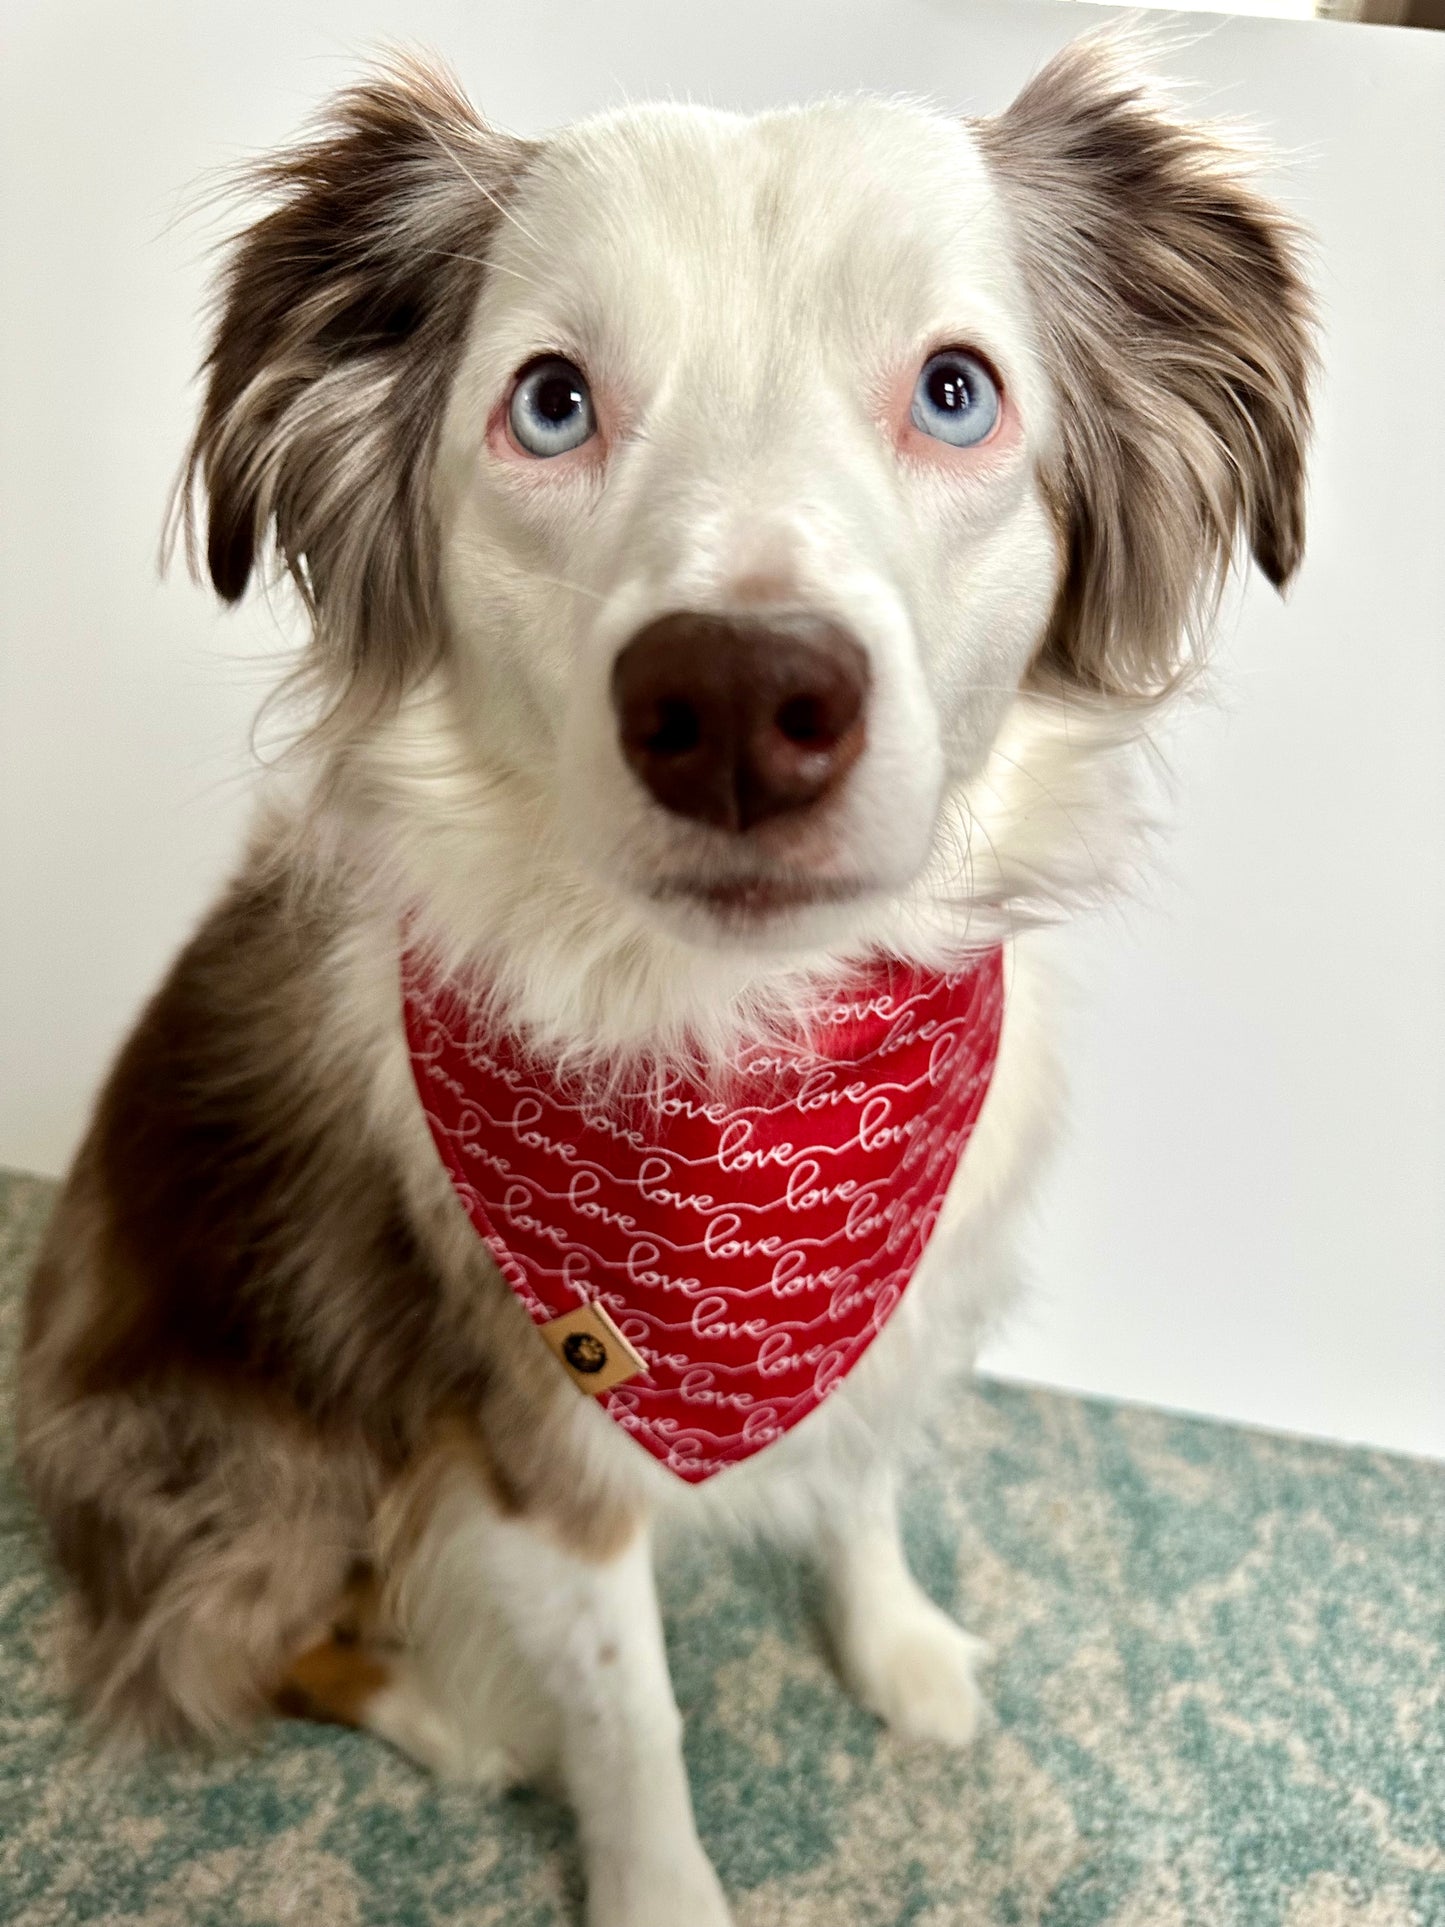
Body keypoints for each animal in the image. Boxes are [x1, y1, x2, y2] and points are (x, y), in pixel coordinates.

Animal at [16, 33, 1317, 1927]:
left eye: (954, 391)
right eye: (552, 402)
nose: (739, 703)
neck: (749, 1039)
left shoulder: (902, 1286)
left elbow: (861, 1471)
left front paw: (894, 1644)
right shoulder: (529, 1436)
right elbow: (627, 1712)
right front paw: (657, 1881)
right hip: (263, 1467)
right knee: (226, 1644)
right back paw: (444, 1714)